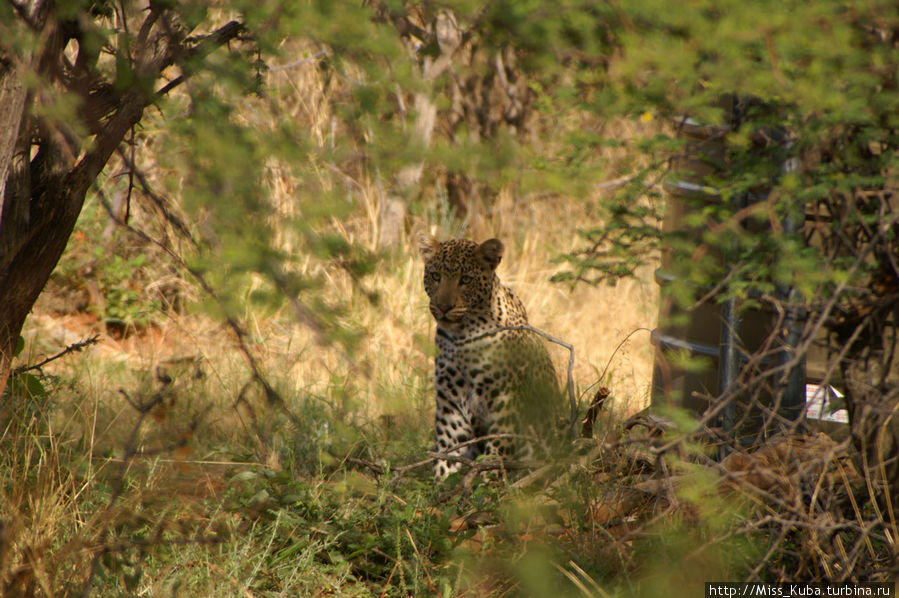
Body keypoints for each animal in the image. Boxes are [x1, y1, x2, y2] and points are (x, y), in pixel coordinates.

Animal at [418, 237, 560, 480]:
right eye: (436, 276)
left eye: (466, 280)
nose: (444, 307)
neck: (462, 335)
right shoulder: (450, 398)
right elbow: (449, 444)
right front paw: (443, 479)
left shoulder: (505, 395)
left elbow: (498, 444)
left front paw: (489, 479)